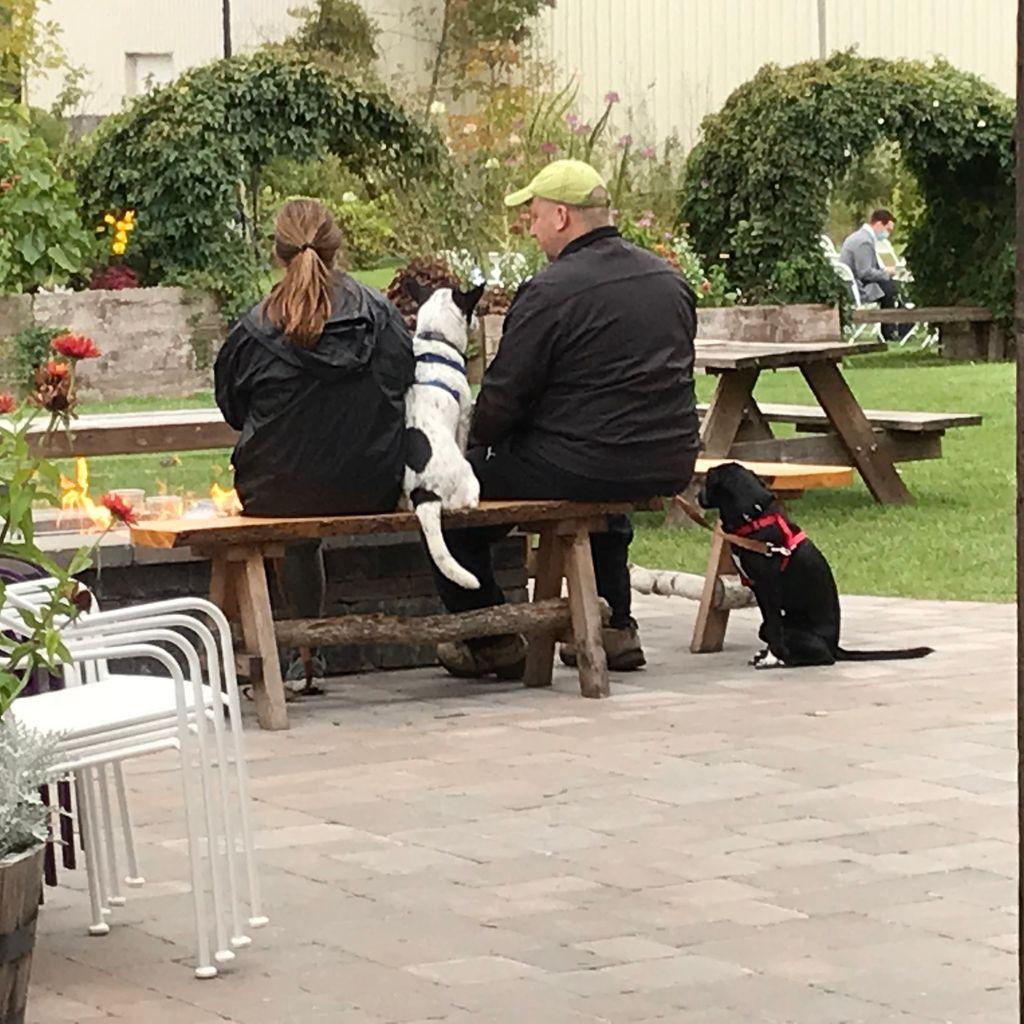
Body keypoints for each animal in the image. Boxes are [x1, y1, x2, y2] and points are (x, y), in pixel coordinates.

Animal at [399, 280, 483, 589]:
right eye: (472, 309)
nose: (478, 318)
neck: (435, 338)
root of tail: (424, 492)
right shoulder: (465, 416)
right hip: (470, 478)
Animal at [700, 464, 933, 671]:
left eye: (708, 480)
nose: (697, 496)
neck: (754, 519)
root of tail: (834, 646)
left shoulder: (770, 590)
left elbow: (775, 628)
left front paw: (771, 659)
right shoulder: (759, 590)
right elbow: (771, 625)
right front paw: (769, 656)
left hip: (799, 634)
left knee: (824, 657)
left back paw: (786, 661)